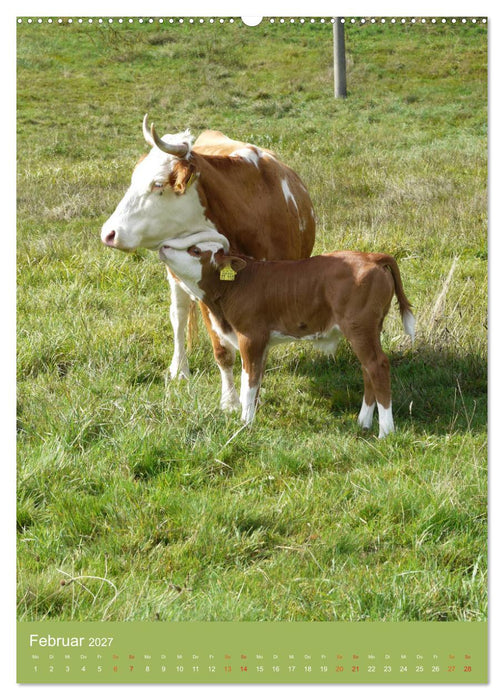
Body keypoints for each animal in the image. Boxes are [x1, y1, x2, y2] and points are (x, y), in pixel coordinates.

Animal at [101, 116, 315, 410]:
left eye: (158, 184)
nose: (108, 233)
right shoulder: (207, 294)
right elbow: (222, 351)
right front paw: (230, 402)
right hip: (175, 277)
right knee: (178, 316)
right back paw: (179, 369)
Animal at [157, 234, 415, 438]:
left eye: (195, 250)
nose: (163, 246)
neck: (234, 287)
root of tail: (372, 256)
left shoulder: (251, 335)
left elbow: (248, 381)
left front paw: (245, 423)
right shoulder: (259, 341)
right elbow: (256, 380)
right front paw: (249, 417)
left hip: (359, 326)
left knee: (377, 365)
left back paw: (386, 431)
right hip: (368, 328)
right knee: (367, 368)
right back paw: (363, 422)